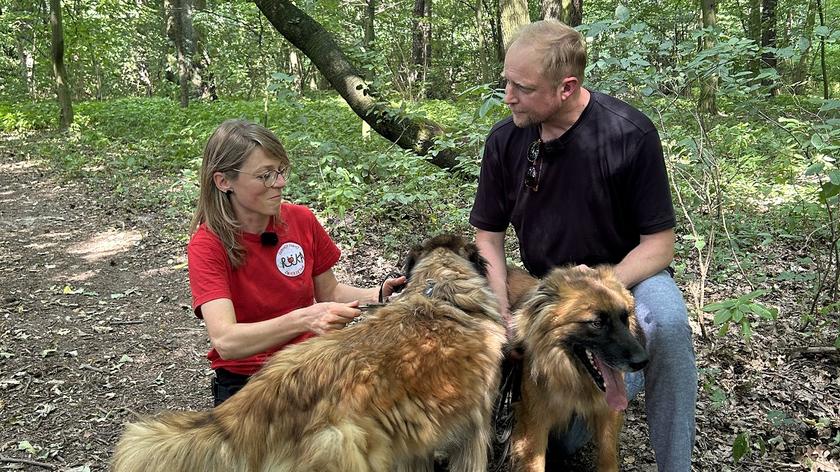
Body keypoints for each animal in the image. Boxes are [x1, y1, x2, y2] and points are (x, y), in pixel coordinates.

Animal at [506, 266, 648, 472]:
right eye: (597, 323)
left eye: (625, 318)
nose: (643, 361)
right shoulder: (535, 424)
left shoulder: (606, 413)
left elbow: (608, 457)